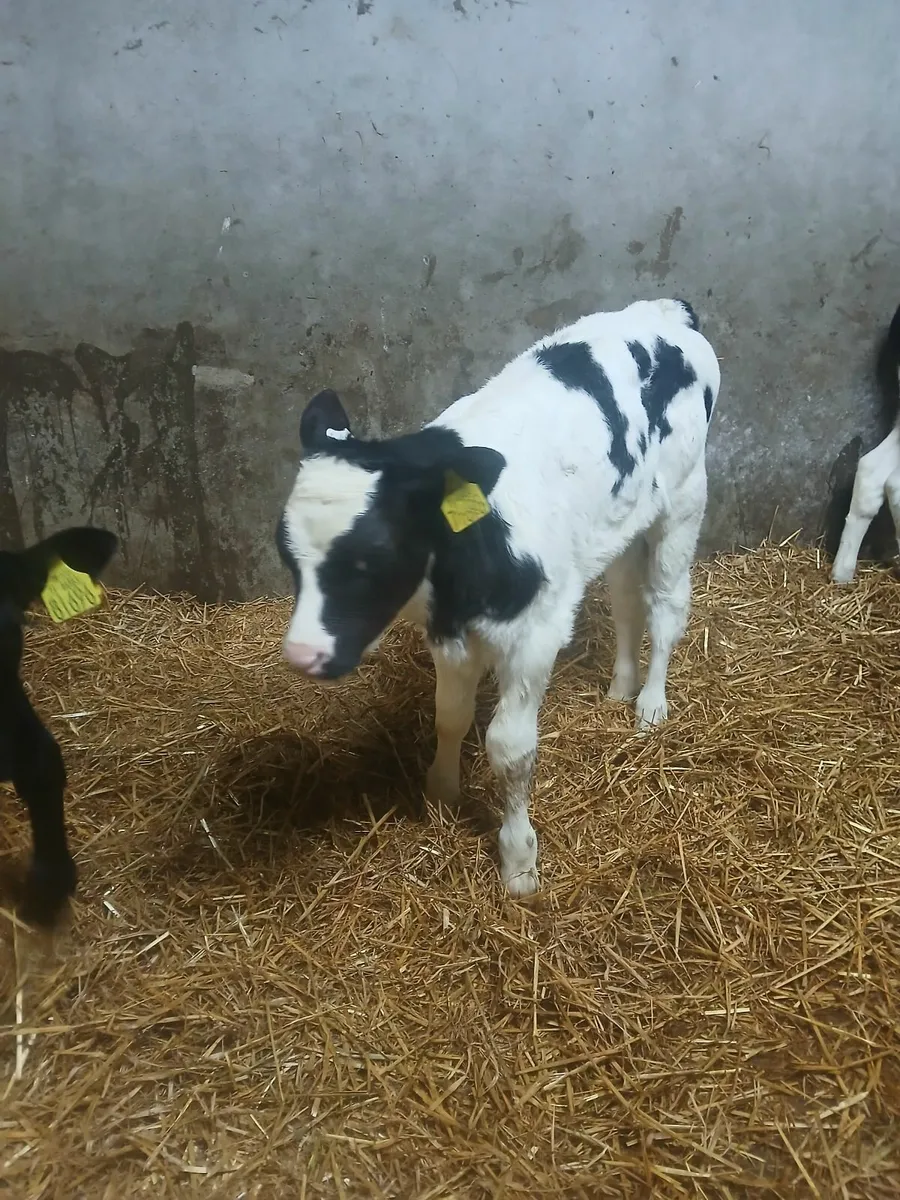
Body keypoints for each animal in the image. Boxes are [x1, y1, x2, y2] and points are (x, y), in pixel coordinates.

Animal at [276, 299, 720, 897]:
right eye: (286, 553)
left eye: (370, 559)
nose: (303, 655)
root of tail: (665, 311)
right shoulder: (448, 633)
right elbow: (449, 715)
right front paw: (440, 792)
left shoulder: (534, 635)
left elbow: (509, 749)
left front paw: (519, 860)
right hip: (619, 520)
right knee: (626, 595)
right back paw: (620, 688)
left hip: (684, 500)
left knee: (666, 604)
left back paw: (650, 704)